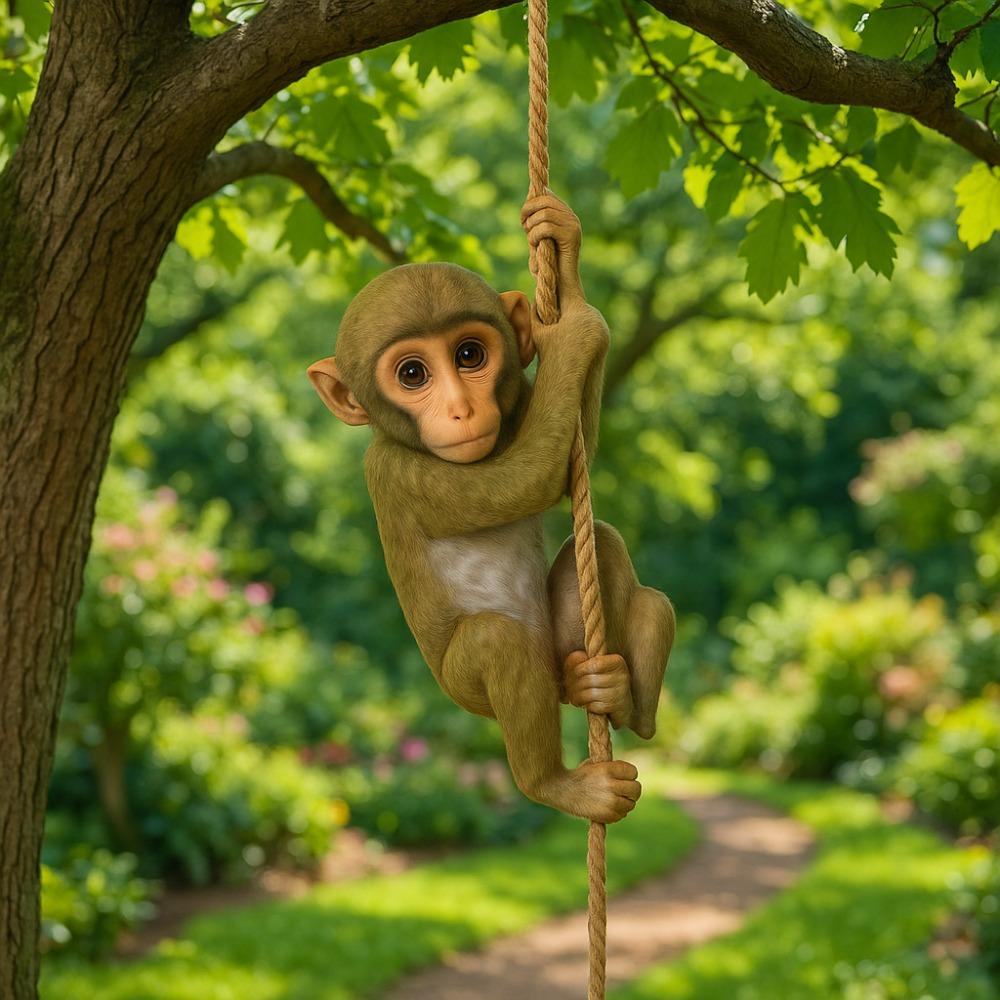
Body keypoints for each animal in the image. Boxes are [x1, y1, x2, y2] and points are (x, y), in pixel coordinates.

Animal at [308, 194, 675, 824]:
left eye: (469, 354)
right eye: (412, 373)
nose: (461, 408)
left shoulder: (518, 403)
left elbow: (571, 457)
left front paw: (565, 255)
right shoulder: (400, 473)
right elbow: (524, 482)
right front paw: (576, 332)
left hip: (562, 644)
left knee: (602, 545)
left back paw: (617, 696)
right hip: (465, 687)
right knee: (496, 644)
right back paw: (559, 784)